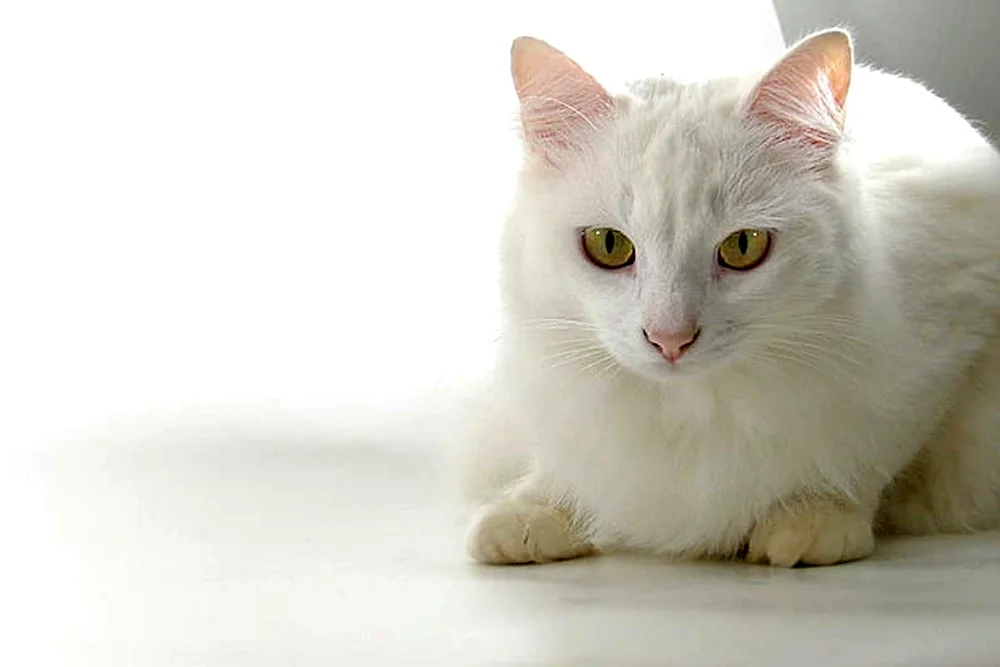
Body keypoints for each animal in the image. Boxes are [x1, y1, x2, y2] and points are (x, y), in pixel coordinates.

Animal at [464, 28, 1000, 568]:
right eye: (608, 244)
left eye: (743, 246)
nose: (670, 339)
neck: (689, 413)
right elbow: (568, 464)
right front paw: (532, 512)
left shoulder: (948, 350)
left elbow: (870, 456)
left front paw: (814, 516)